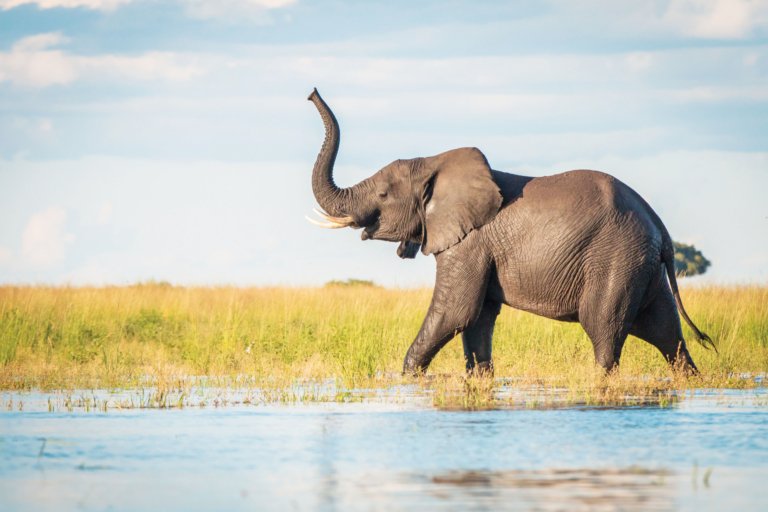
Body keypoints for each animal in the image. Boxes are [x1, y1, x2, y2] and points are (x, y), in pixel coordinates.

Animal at [306, 88, 715, 375]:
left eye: (382, 195)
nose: (311, 93)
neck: (434, 162)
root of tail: (658, 224)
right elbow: (477, 320)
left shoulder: (469, 243)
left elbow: (455, 311)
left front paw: (407, 379)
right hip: (641, 263)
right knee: (667, 333)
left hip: (617, 258)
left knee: (604, 329)